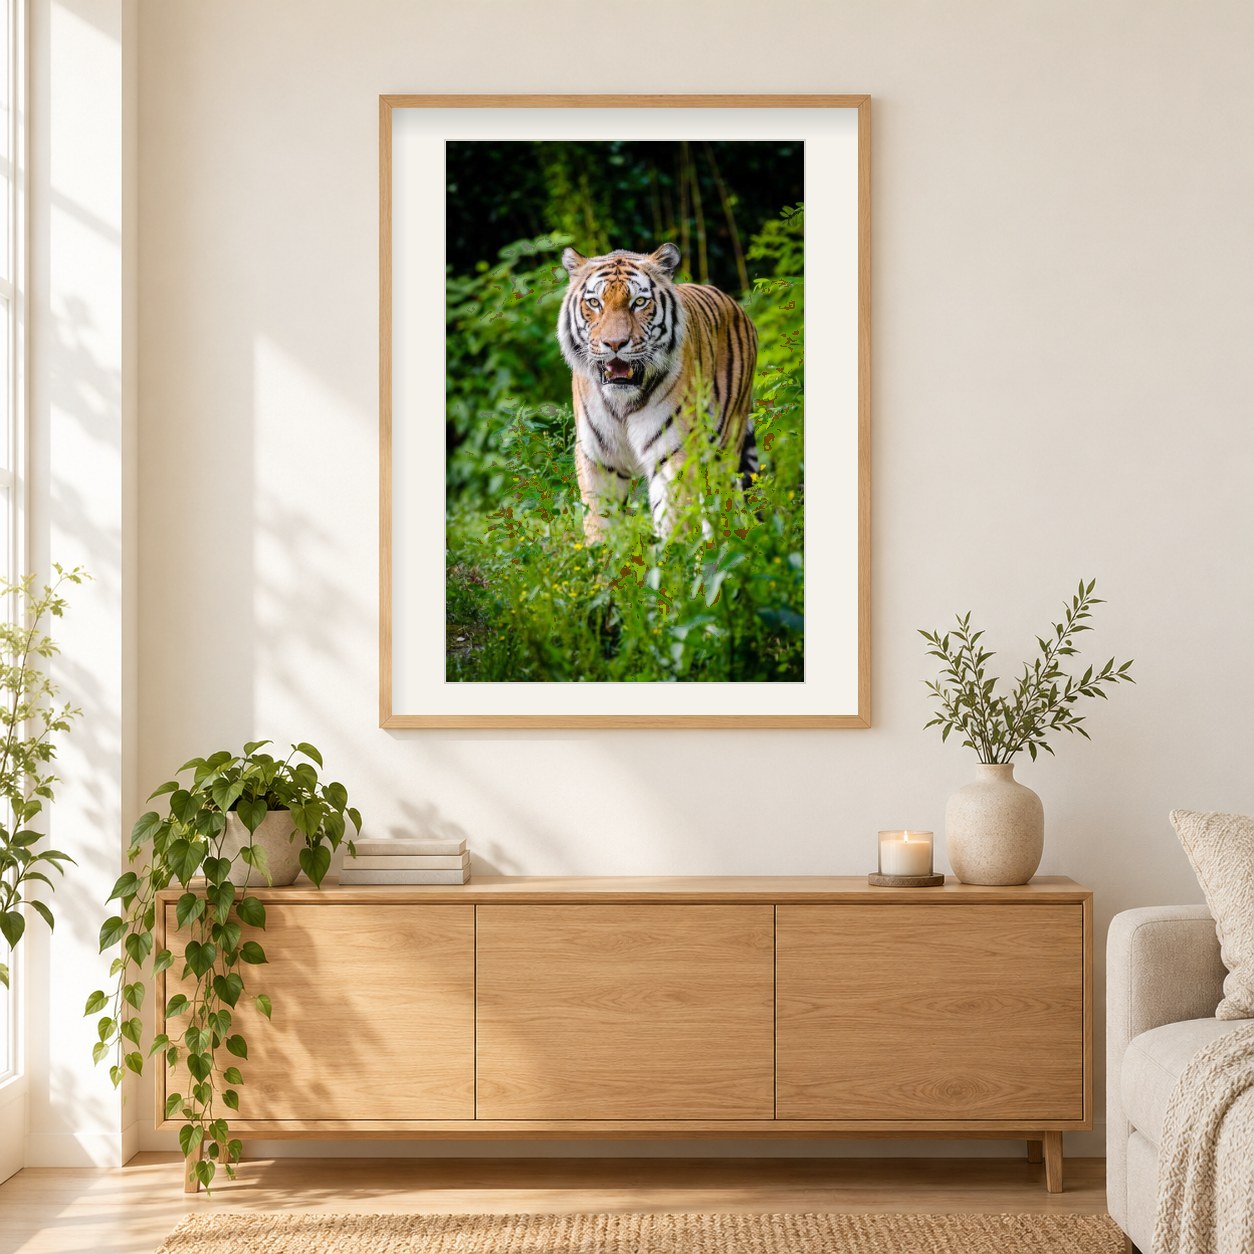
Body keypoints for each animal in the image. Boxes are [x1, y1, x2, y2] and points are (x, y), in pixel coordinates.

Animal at [556, 242, 758, 542]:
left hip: (724, 446)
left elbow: (674, 518)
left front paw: (674, 553)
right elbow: (600, 524)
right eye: (594, 303)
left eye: (639, 302)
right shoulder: (598, 459)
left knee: (721, 505)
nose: (614, 343)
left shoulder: (672, 452)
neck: (622, 402)